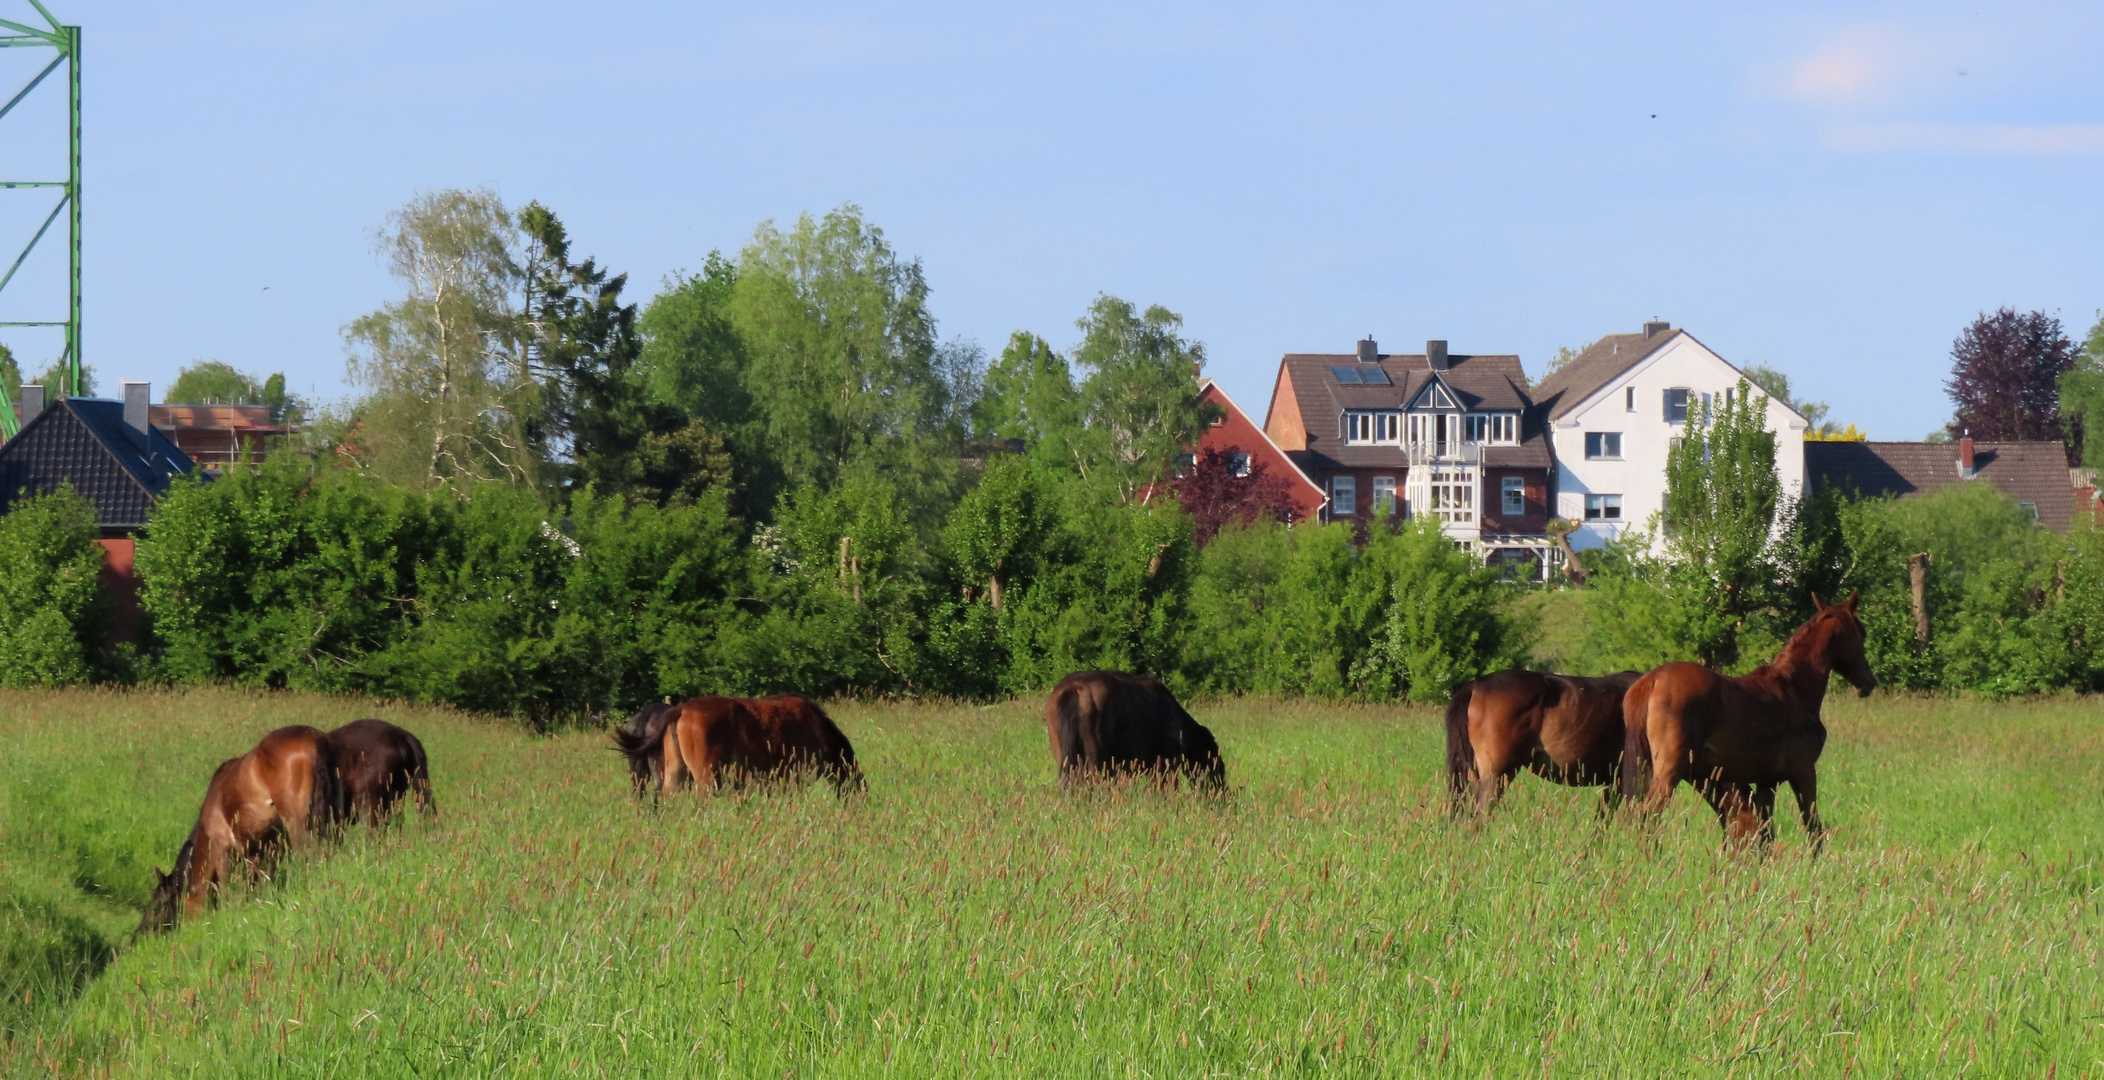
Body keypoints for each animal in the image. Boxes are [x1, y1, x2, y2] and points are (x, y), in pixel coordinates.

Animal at [142, 728, 345, 930]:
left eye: (159, 904)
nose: (140, 934)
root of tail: (314, 739)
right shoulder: (262, 851)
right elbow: (260, 883)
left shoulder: (222, 849)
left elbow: (225, 888)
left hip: (298, 823)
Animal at [1035, 669, 1220, 787]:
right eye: (1214, 760)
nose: (1219, 790)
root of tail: (1073, 690)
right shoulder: (1165, 763)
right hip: (1094, 758)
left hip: (1065, 754)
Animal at [1615, 593, 1885, 846]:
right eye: (1861, 633)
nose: (1868, 682)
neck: (1794, 690)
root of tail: (1653, 679)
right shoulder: (1804, 772)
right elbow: (1813, 828)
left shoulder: (1767, 782)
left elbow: (1765, 831)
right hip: (1669, 770)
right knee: (1648, 815)